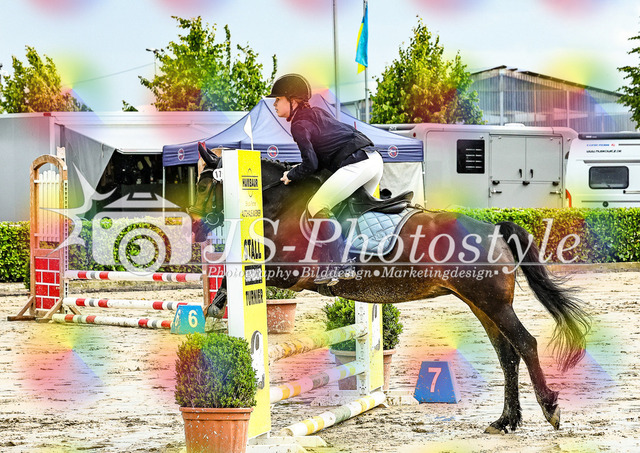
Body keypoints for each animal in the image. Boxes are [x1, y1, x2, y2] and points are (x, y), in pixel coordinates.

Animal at [188, 145, 590, 434]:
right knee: (507, 355)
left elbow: (249, 274)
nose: (199, 225)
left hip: (492, 303)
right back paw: (505, 421)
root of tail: (494, 229)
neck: (281, 202)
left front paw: (218, 303)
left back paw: (550, 409)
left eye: (207, 184)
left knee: (526, 344)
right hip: (480, 304)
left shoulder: (292, 273)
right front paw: (216, 304)